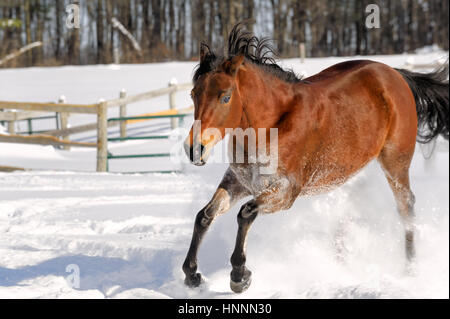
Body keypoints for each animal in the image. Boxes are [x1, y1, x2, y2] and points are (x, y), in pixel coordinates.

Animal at [181, 23, 448, 296]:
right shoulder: (239, 182)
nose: (194, 149)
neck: (273, 124)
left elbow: (245, 213)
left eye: (225, 96)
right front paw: (192, 274)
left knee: (406, 207)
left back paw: (410, 270)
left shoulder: (286, 190)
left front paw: (240, 275)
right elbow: (205, 215)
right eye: (193, 94)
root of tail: (395, 75)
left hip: (395, 162)